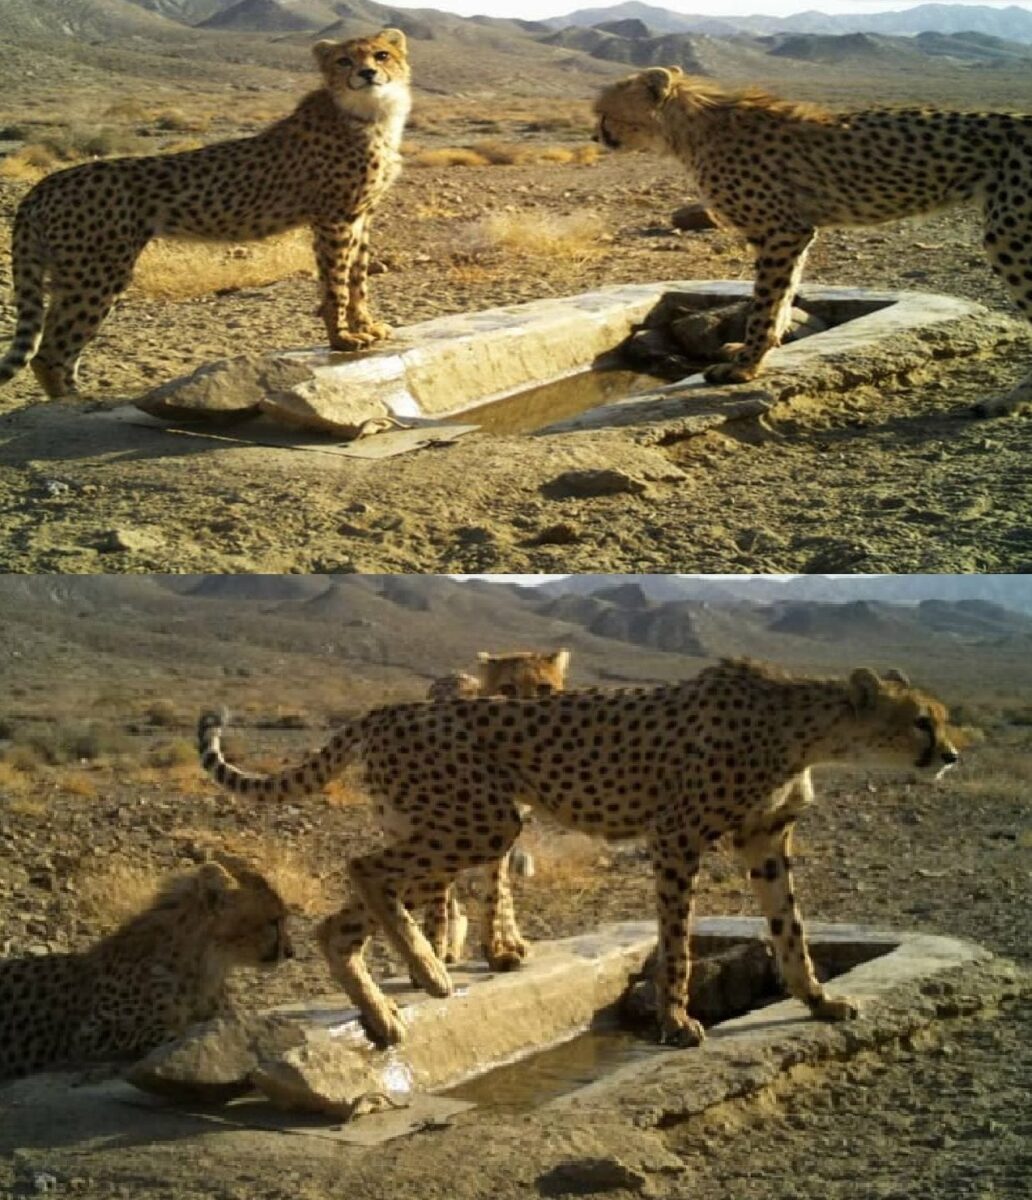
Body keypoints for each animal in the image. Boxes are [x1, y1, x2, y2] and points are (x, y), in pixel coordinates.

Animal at [0, 29, 410, 400]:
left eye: (382, 55)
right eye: (344, 61)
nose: (367, 74)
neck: (370, 113)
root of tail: (46, 183)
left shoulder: (361, 216)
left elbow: (358, 279)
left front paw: (367, 326)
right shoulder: (334, 218)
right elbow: (336, 284)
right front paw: (341, 338)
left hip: (81, 272)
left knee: (59, 348)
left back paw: (76, 396)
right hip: (98, 272)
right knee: (50, 352)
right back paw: (76, 404)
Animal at [424, 648, 571, 965]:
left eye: (544, 689)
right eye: (507, 689)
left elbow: (494, 893)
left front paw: (494, 949)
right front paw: (435, 947)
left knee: (502, 890)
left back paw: (511, 939)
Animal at [594, 67, 1032, 416]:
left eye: (603, 111)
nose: (595, 135)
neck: (688, 129)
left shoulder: (781, 230)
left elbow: (766, 304)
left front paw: (744, 366)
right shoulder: (795, 231)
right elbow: (784, 296)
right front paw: (760, 352)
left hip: (1009, 234)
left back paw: (1004, 402)